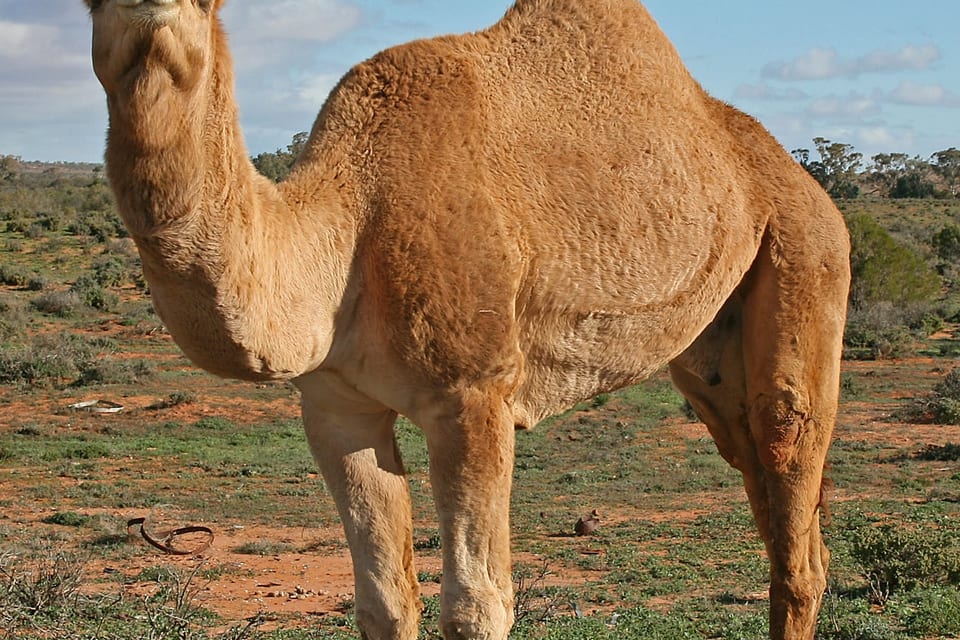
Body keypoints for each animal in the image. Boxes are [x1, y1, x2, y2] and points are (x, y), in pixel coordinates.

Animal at [82, 0, 850, 638]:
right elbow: (384, 601)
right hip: (711, 354)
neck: (349, 224)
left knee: (790, 469)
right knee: (772, 498)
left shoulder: (472, 394)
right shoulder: (335, 407)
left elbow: (478, 607)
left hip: (805, 255)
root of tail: (806, 185)